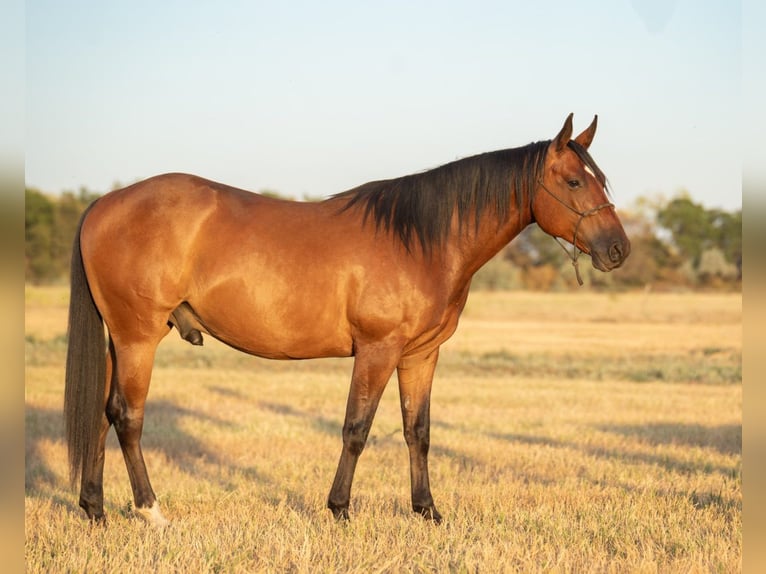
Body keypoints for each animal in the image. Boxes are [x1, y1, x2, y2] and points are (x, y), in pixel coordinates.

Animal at [64, 113, 630, 527]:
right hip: (138, 339)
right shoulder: (377, 351)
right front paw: (339, 510)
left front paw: (427, 511)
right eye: (574, 180)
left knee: (102, 413)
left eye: (602, 179)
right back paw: (152, 513)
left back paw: (95, 510)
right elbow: (356, 429)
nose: (618, 250)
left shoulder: (421, 354)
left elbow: (418, 431)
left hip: (120, 341)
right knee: (128, 418)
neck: (420, 240)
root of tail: (103, 204)